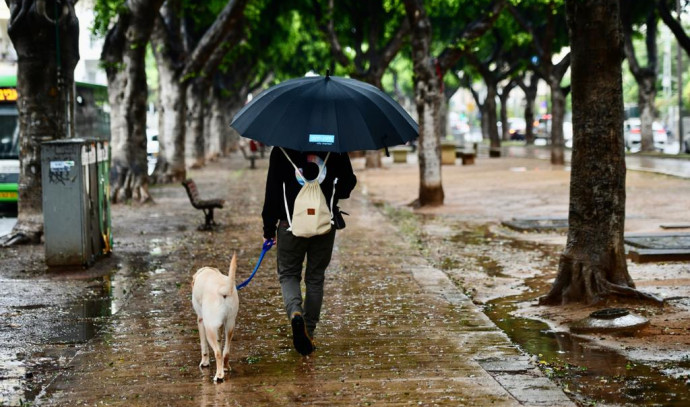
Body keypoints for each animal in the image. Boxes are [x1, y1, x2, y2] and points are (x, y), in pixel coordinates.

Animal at [191, 253, 239, 384]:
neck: (208, 272)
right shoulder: (220, 326)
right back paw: (225, 368)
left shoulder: (200, 320)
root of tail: (224, 289)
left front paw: (204, 363)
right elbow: (220, 343)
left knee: (218, 353)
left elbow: (204, 347)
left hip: (210, 329)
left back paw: (219, 376)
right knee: (225, 352)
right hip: (230, 325)